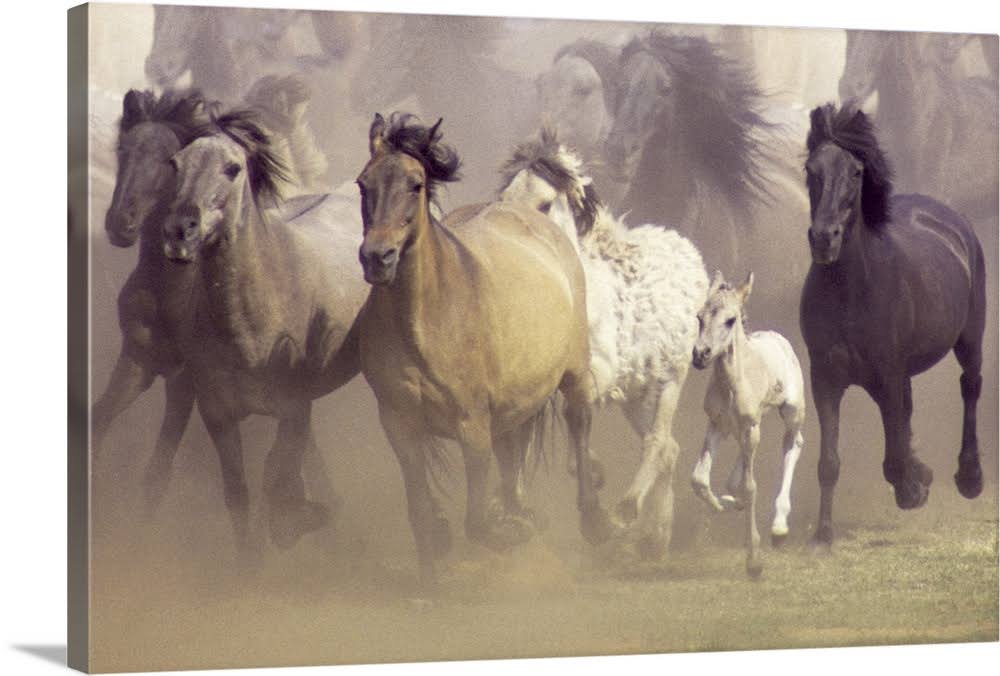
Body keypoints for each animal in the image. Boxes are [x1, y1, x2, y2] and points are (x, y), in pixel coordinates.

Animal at [161, 109, 370, 556]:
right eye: (175, 163)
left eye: (232, 168)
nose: (179, 232)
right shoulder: (219, 416)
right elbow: (239, 495)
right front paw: (250, 559)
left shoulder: (293, 408)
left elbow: (276, 476)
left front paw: (295, 521)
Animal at [355, 113, 613, 588]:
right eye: (364, 184)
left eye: (416, 184)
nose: (377, 258)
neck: (427, 320)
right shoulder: (399, 424)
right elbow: (419, 510)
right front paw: (432, 575)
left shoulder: (471, 424)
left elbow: (475, 520)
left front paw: (509, 531)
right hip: (515, 397)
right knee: (514, 448)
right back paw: (520, 511)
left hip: (573, 374)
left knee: (578, 423)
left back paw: (592, 521)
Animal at [498, 129, 708, 559]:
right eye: (506, 198)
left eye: (544, 203)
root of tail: (687, 250)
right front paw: (516, 513)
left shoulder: (598, 374)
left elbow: (575, 420)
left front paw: (595, 517)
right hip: (637, 393)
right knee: (670, 448)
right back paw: (655, 537)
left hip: (670, 379)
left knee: (659, 442)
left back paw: (627, 513)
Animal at [690, 271, 805, 577]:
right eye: (699, 317)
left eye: (730, 320)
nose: (700, 355)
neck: (731, 383)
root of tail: (778, 338)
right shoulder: (716, 424)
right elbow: (699, 479)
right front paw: (724, 503)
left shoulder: (749, 426)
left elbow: (752, 486)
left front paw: (754, 560)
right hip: (746, 426)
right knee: (740, 469)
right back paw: (734, 498)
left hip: (791, 411)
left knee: (793, 444)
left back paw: (779, 528)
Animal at [801, 103, 986, 547]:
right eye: (810, 169)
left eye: (855, 172)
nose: (824, 238)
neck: (850, 291)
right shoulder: (825, 378)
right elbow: (829, 461)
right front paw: (823, 537)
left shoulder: (886, 373)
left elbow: (893, 456)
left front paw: (913, 488)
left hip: (970, 337)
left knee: (970, 386)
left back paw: (969, 477)